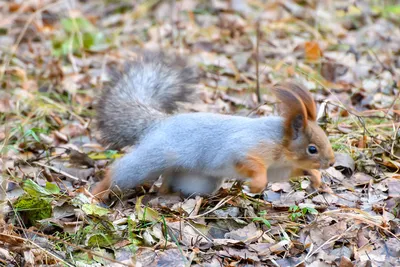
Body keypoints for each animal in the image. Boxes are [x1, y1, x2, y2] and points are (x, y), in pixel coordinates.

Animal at [92, 52, 336, 200]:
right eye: (312, 148)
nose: (331, 162)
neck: (281, 143)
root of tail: (159, 123)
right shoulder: (249, 146)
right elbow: (251, 163)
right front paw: (257, 185)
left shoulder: (279, 168)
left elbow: (288, 173)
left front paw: (316, 177)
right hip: (154, 155)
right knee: (120, 172)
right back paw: (96, 194)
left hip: (196, 179)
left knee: (172, 178)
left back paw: (167, 193)